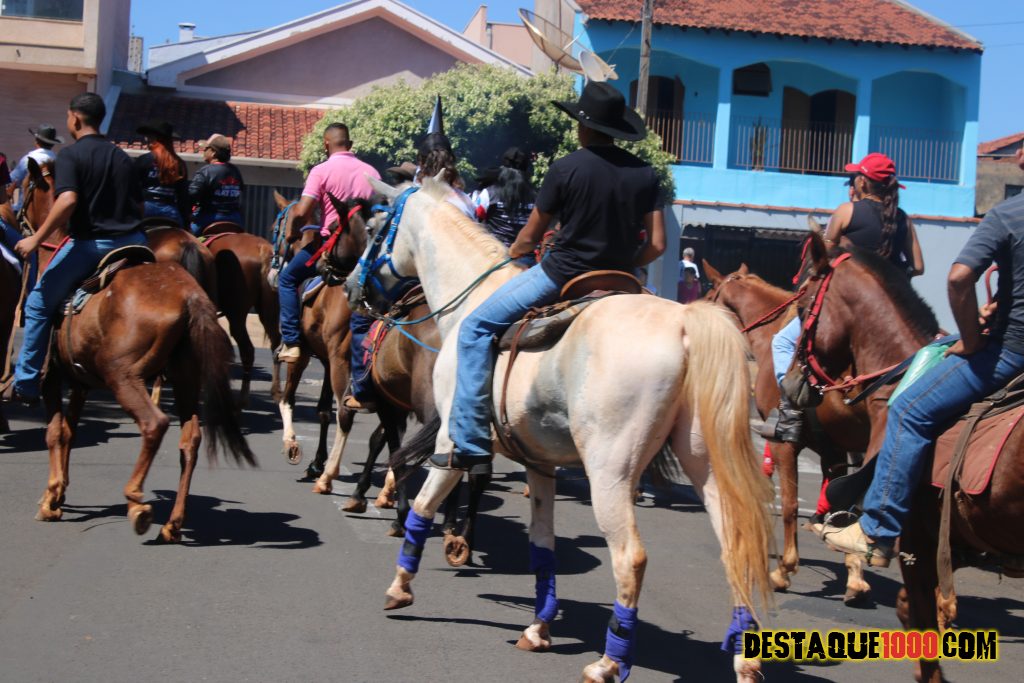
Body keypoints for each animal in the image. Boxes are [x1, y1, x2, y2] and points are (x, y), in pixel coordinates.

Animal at [18, 155, 255, 541]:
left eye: (23, 187)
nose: (17, 226)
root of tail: (189, 296)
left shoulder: (51, 375)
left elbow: (55, 432)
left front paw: (51, 498)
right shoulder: (80, 381)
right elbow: (70, 431)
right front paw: (59, 491)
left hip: (123, 377)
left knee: (154, 423)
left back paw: (137, 503)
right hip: (185, 379)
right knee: (190, 437)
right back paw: (173, 523)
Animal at [350, 175, 774, 682]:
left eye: (374, 227)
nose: (352, 287)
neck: (471, 300)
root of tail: (685, 322)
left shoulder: (451, 439)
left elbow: (423, 507)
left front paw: (400, 586)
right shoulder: (540, 464)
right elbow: (543, 545)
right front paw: (538, 628)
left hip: (611, 472)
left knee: (630, 557)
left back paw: (610, 661)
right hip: (703, 461)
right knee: (736, 547)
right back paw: (745, 658)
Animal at [704, 260, 873, 604]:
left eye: (710, 293)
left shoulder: (786, 444)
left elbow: (792, 505)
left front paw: (785, 569)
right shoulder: (835, 451)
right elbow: (841, 507)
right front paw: (854, 572)